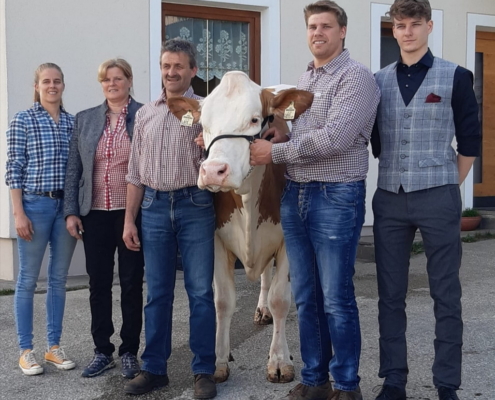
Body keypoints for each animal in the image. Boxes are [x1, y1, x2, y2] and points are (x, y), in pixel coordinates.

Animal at [169, 72, 312, 384]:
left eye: (256, 119)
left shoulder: (287, 238)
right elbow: (223, 301)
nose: (213, 171)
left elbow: (280, 299)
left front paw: (279, 360)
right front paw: (218, 360)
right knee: (265, 277)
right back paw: (261, 309)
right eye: (203, 123)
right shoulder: (216, 239)